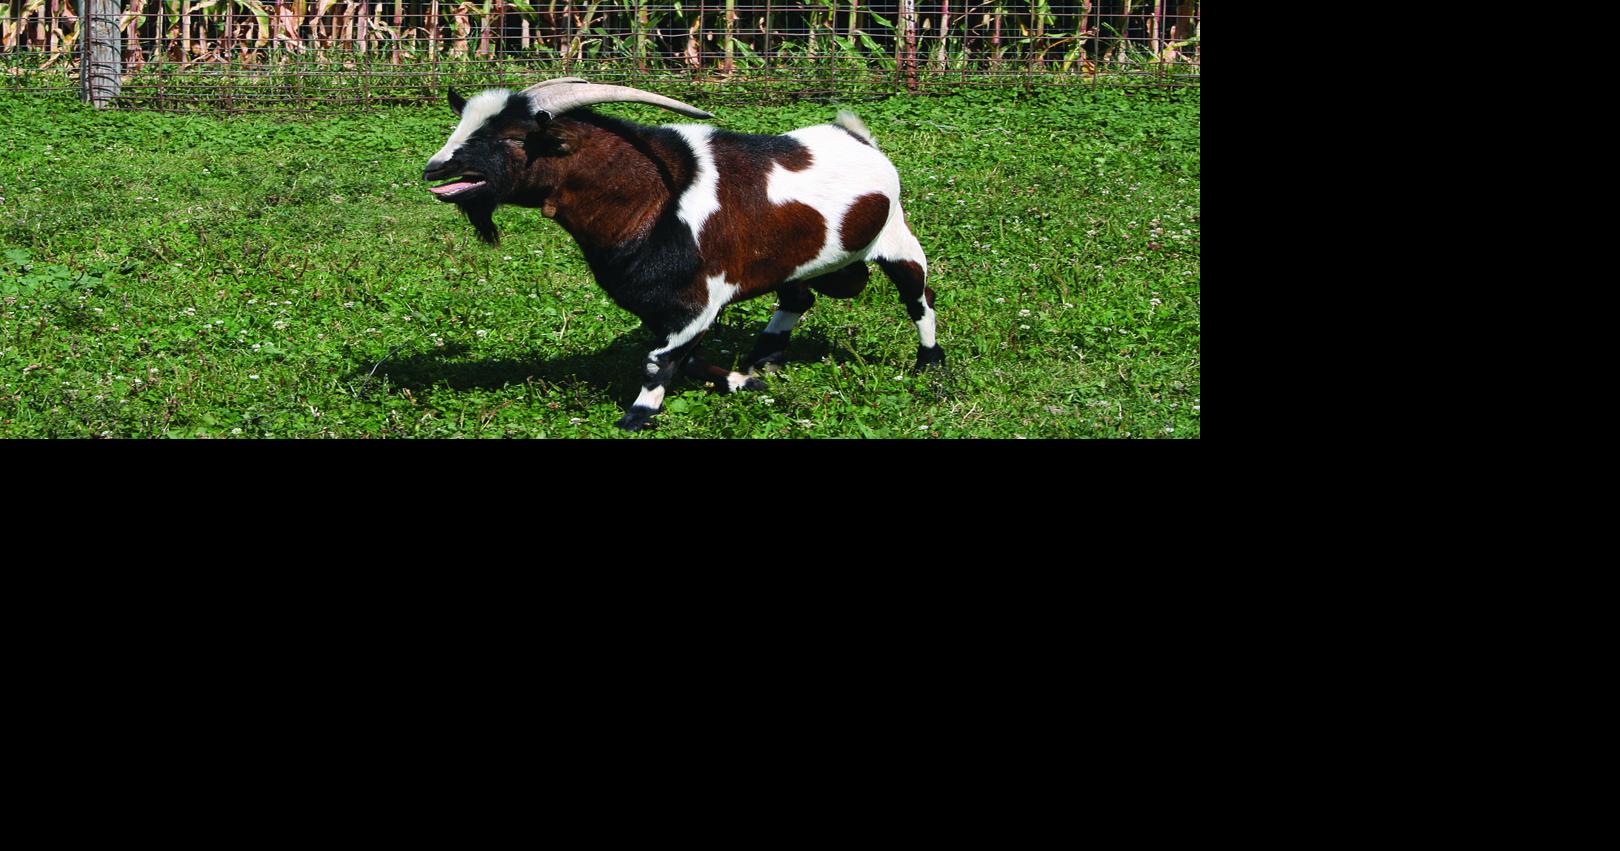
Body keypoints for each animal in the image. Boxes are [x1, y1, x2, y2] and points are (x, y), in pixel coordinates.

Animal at [422, 78, 944, 431]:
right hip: (800, 261)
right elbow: (684, 357)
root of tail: (857, 136)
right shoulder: (655, 303)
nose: (435, 168)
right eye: (461, 126)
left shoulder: (701, 297)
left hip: (897, 239)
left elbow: (660, 360)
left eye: (513, 138)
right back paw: (764, 359)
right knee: (799, 298)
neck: (651, 199)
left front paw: (635, 417)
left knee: (919, 299)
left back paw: (929, 364)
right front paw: (743, 382)